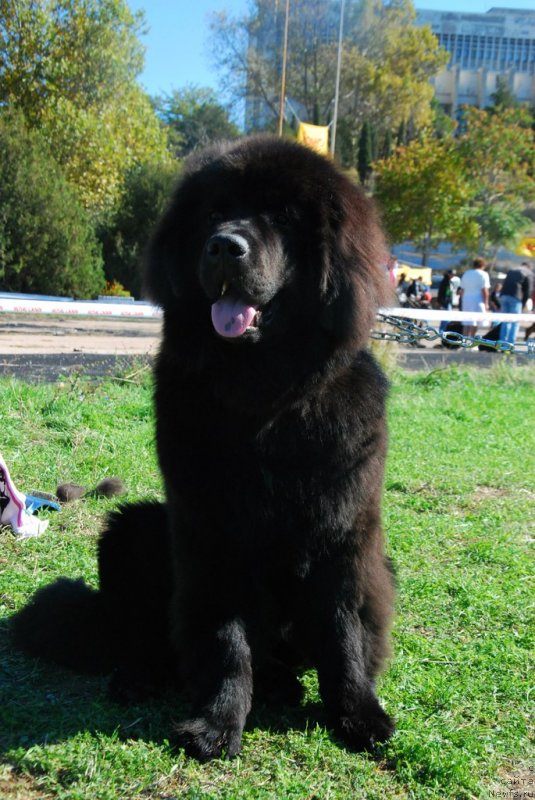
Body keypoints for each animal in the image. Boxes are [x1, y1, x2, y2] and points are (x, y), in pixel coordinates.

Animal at [13, 138, 398, 764]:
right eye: (216, 213)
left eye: (284, 217)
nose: (224, 245)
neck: (265, 400)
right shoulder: (211, 535)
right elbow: (226, 642)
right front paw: (217, 724)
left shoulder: (343, 533)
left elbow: (342, 633)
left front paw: (359, 714)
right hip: (131, 532)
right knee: (148, 635)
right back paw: (142, 677)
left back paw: (286, 686)